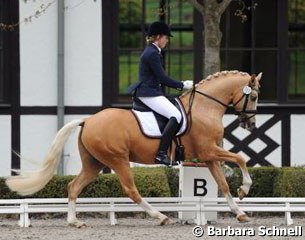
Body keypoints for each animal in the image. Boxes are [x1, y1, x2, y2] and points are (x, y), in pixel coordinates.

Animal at [5, 70, 260, 228]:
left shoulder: (208, 156)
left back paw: (74, 222)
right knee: (131, 190)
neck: (204, 107)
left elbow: (223, 183)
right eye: (254, 96)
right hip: (118, 160)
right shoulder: (209, 151)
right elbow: (241, 158)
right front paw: (245, 189)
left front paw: (240, 212)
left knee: (73, 186)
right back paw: (160, 217)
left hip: (94, 163)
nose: (250, 124)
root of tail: (88, 120)